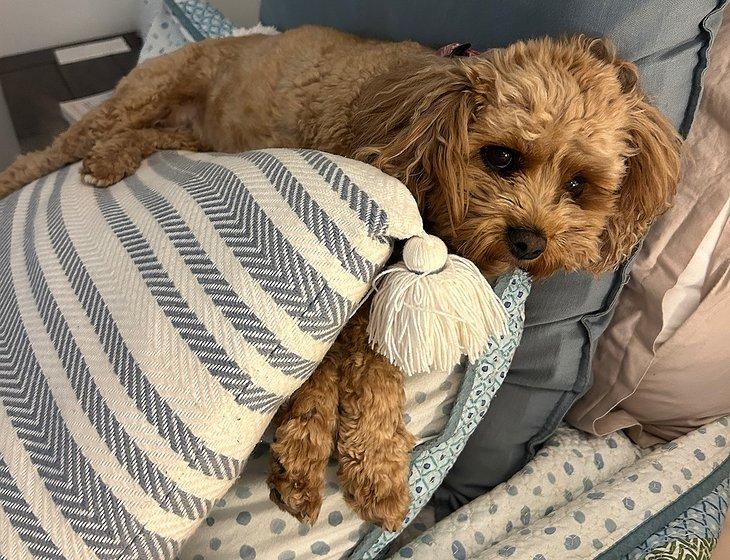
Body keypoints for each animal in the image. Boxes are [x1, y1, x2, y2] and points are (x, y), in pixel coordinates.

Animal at [0, 26, 676, 532]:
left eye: (579, 186)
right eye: (501, 157)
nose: (531, 243)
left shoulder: (387, 297)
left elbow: (378, 377)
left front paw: (376, 470)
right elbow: (324, 374)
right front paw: (302, 463)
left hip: (191, 133)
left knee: (139, 137)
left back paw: (112, 159)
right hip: (147, 93)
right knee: (58, 147)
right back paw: (37, 172)